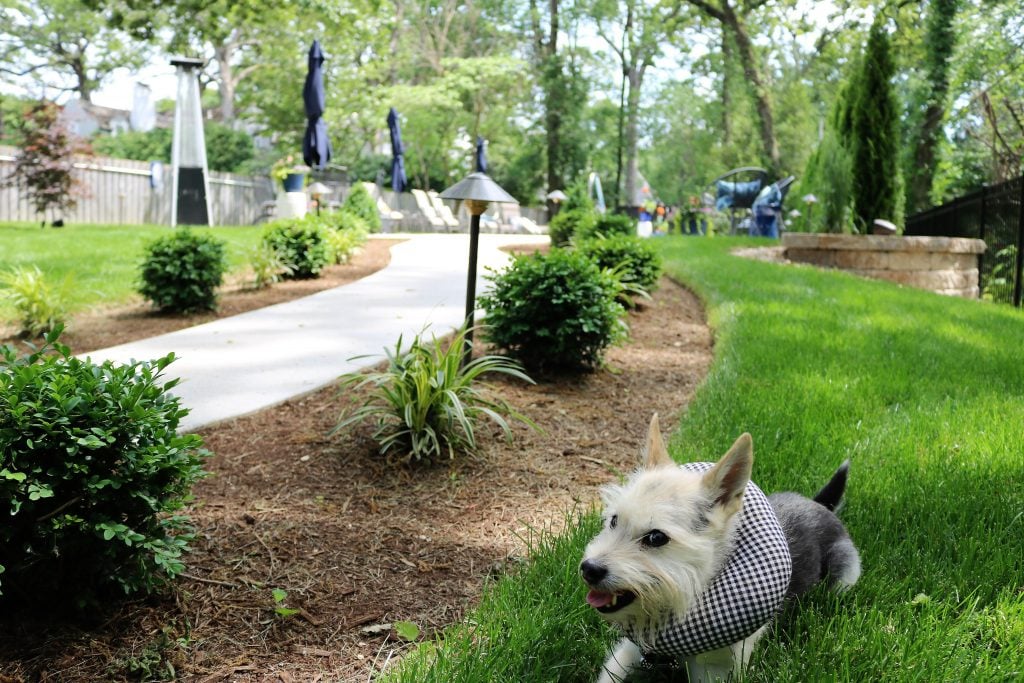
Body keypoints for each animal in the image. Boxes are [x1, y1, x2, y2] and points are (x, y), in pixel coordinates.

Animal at [581, 417, 860, 683]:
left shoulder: (716, 672)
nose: (588, 569)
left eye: (657, 537)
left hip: (844, 574)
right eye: (614, 521)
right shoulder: (627, 653)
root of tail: (818, 504)